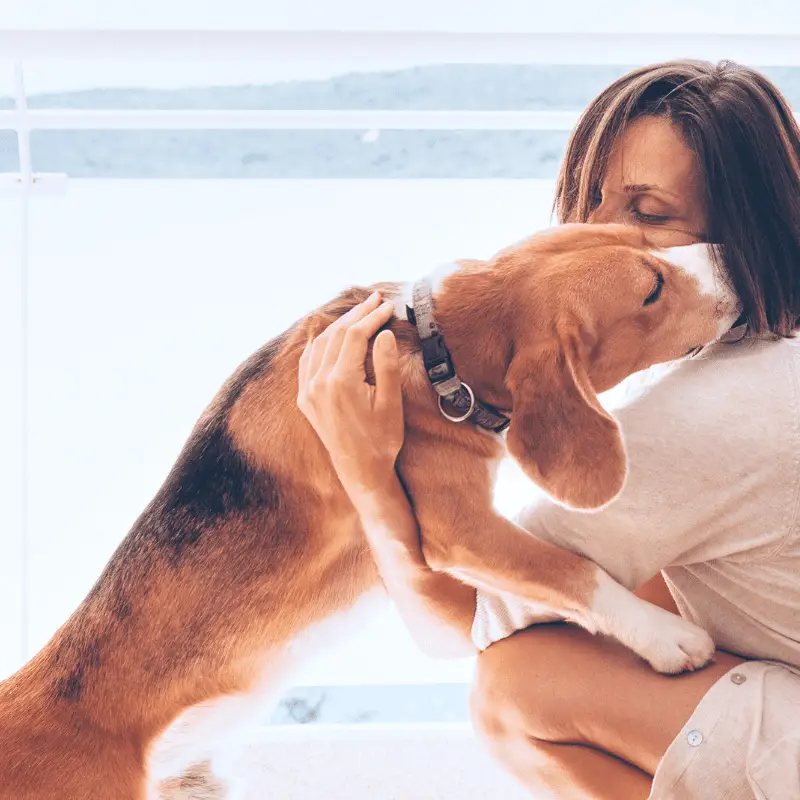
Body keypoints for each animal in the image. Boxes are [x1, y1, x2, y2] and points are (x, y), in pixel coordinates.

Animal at [0, 222, 736, 796]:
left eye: (644, 233)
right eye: (651, 289)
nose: (729, 254)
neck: (429, 343)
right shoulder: (459, 530)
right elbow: (569, 570)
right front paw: (665, 636)